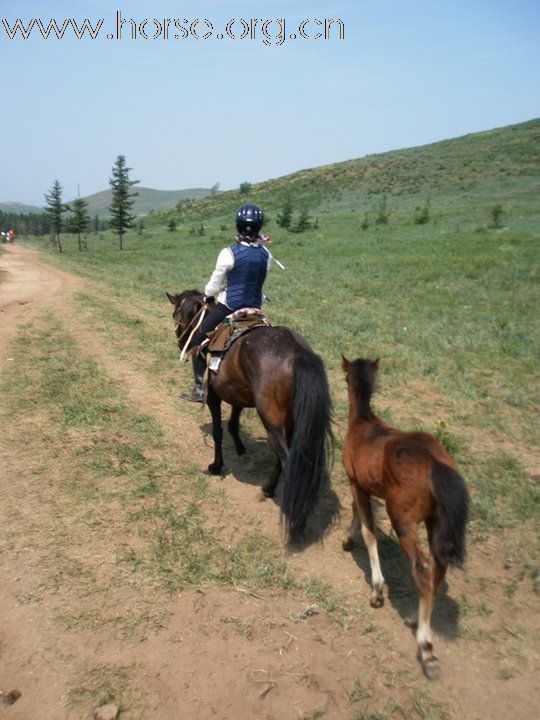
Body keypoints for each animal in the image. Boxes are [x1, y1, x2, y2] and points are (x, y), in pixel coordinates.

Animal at [166, 290, 334, 544]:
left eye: (176, 314)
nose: (179, 340)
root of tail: (298, 354)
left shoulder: (214, 395)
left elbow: (218, 431)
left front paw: (216, 465)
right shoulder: (237, 392)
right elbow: (234, 422)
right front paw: (239, 447)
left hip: (272, 420)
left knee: (288, 461)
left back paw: (294, 517)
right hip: (290, 422)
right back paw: (268, 490)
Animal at [342, 358, 468, 676]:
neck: (365, 423)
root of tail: (435, 464)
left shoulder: (355, 481)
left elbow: (368, 529)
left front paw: (376, 591)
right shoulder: (362, 485)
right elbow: (358, 513)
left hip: (403, 521)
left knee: (422, 570)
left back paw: (427, 647)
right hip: (434, 522)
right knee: (437, 570)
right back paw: (415, 618)